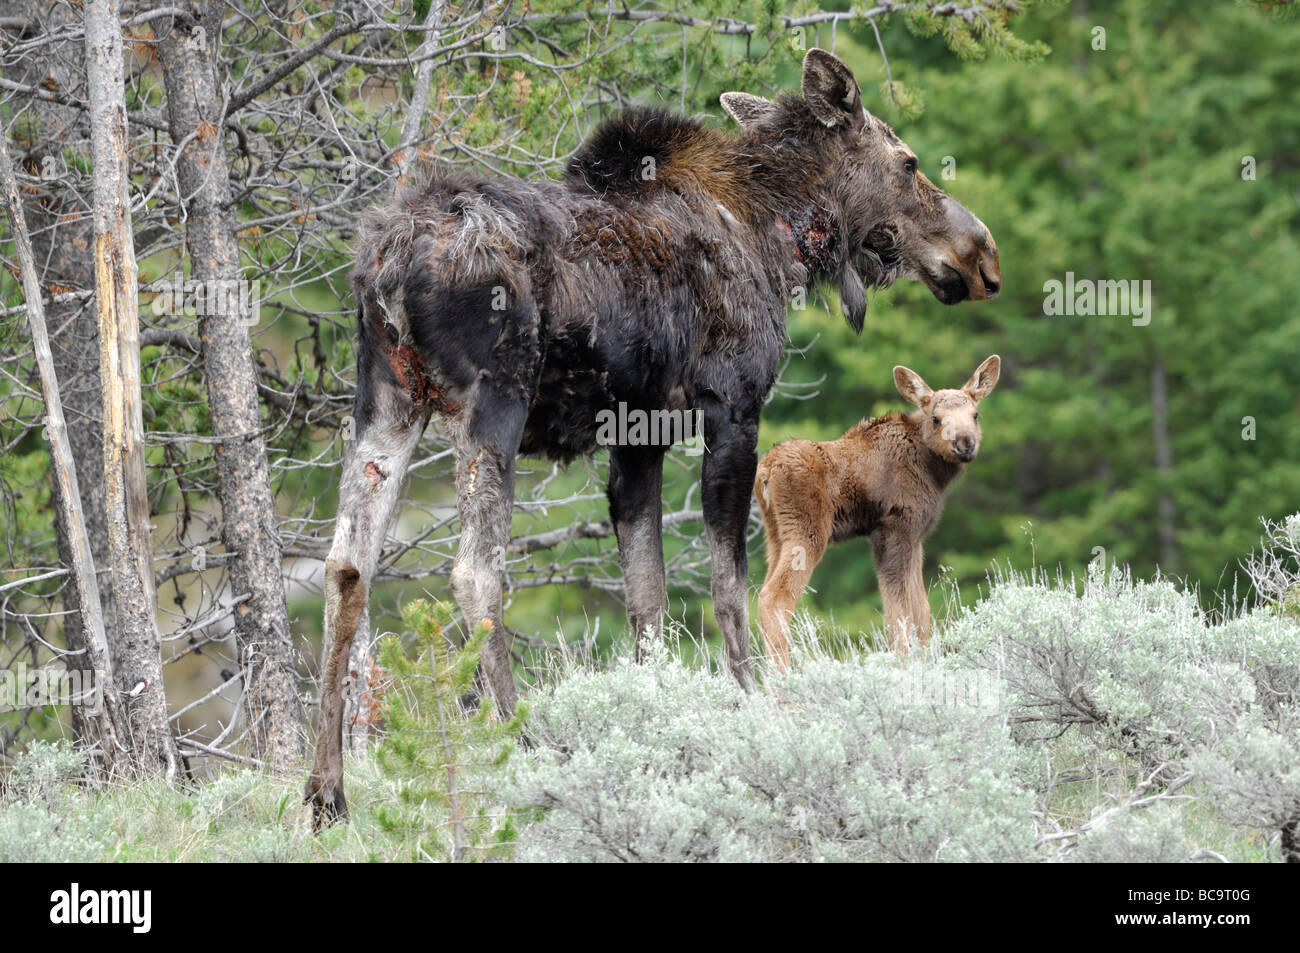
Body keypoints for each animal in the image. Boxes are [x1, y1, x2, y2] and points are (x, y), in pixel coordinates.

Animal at [754, 356, 1003, 660]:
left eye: (975, 415)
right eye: (936, 418)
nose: (966, 443)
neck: (934, 474)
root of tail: (765, 472)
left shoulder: (916, 537)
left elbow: (922, 611)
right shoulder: (892, 529)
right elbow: (898, 614)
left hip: (774, 534)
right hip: (808, 531)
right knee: (775, 598)